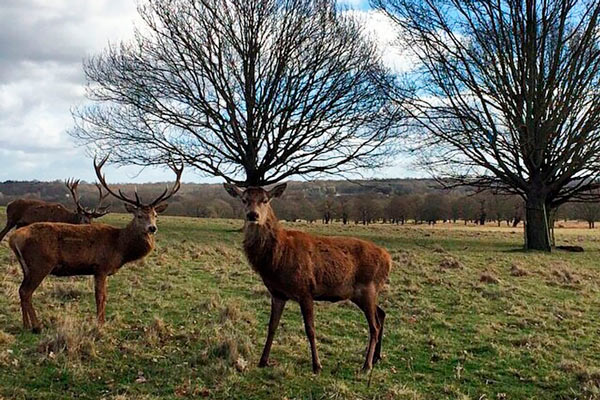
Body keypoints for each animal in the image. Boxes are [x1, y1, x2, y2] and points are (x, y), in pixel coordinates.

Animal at [7, 158, 183, 332]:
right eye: (139, 215)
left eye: (156, 215)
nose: (152, 228)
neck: (120, 247)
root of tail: (14, 238)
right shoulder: (101, 267)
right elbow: (101, 297)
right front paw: (100, 324)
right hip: (40, 263)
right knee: (26, 292)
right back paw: (37, 326)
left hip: (27, 267)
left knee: (21, 290)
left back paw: (26, 325)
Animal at [223, 183, 392, 374]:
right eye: (244, 199)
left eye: (265, 200)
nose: (253, 215)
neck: (277, 259)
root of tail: (389, 259)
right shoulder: (278, 293)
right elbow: (272, 326)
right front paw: (263, 361)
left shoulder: (305, 290)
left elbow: (310, 329)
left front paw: (317, 365)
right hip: (362, 294)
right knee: (381, 314)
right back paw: (377, 358)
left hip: (368, 288)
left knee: (374, 326)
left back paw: (366, 365)